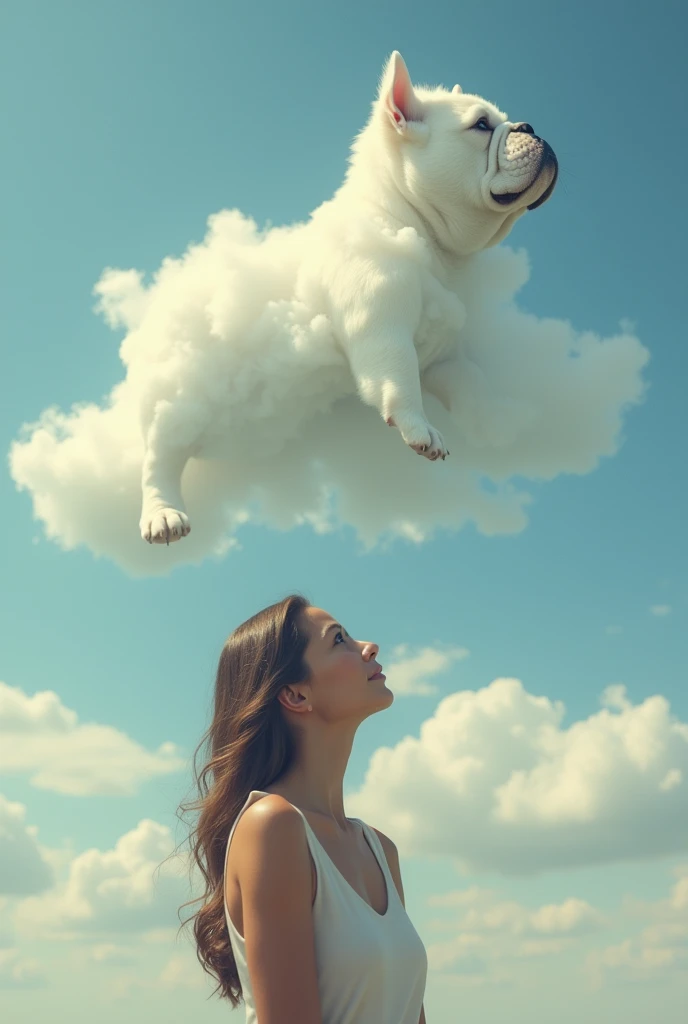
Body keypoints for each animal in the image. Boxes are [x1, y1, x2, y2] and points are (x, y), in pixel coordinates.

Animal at [8, 209, 647, 577]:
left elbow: (458, 377)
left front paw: (497, 411)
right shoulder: (382, 324)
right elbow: (398, 373)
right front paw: (423, 425)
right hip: (183, 392)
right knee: (161, 452)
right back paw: (164, 515)